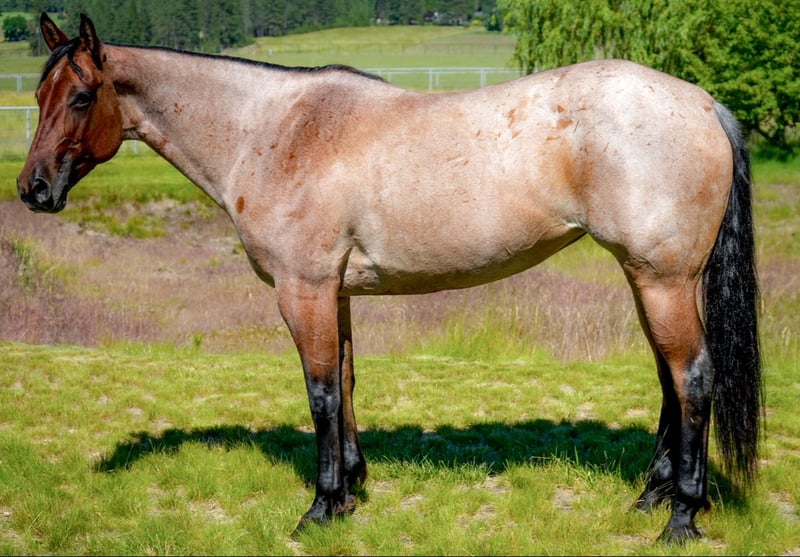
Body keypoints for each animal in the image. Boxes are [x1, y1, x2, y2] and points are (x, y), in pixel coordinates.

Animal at [17, 13, 761, 544]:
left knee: (693, 376)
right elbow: (345, 383)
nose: (33, 189)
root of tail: (704, 105)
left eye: (80, 96)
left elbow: (319, 392)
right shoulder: (336, 293)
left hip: (661, 279)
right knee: (671, 378)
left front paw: (319, 509)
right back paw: (652, 495)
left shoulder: (304, 290)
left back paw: (681, 518)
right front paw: (350, 490)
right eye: (39, 94)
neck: (276, 132)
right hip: (652, 280)